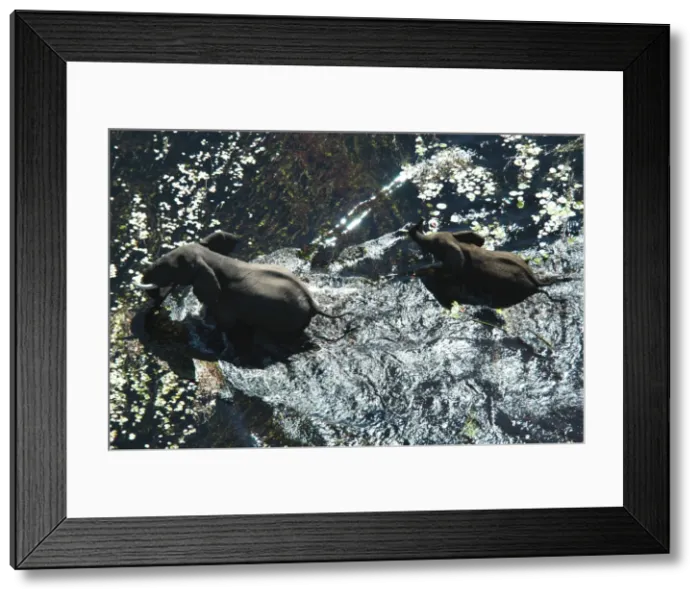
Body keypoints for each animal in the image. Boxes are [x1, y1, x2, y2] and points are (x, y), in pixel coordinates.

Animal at [132, 240, 350, 358]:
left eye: (174, 267)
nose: (156, 304)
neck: (211, 256)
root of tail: (313, 304)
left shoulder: (227, 301)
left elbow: (224, 324)